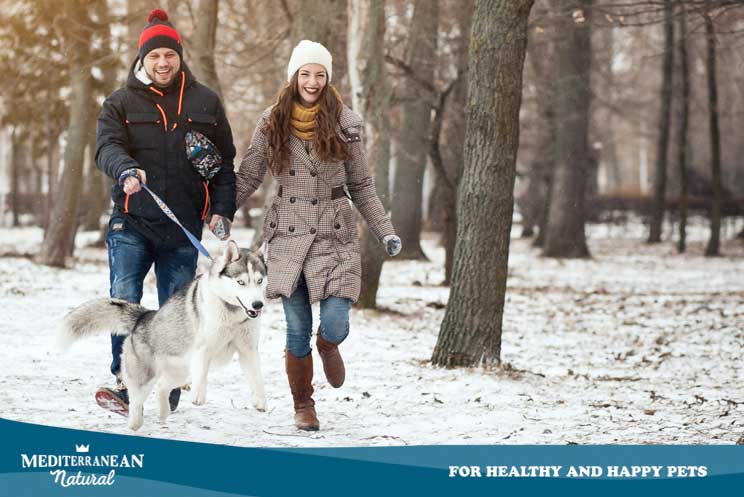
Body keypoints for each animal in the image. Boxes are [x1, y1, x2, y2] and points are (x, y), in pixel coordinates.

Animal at [58, 240, 268, 430]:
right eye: (241, 282)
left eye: (259, 281)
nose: (258, 305)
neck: (232, 313)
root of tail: (144, 317)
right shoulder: (203, 348)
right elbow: (201, 374)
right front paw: (198, 396)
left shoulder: (248, 349)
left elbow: (257, 377)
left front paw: (260, 402)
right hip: (145, 375)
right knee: (137, 399)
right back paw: (134, 422)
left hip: (179, 372)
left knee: (162, 387)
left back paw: (164, 411)